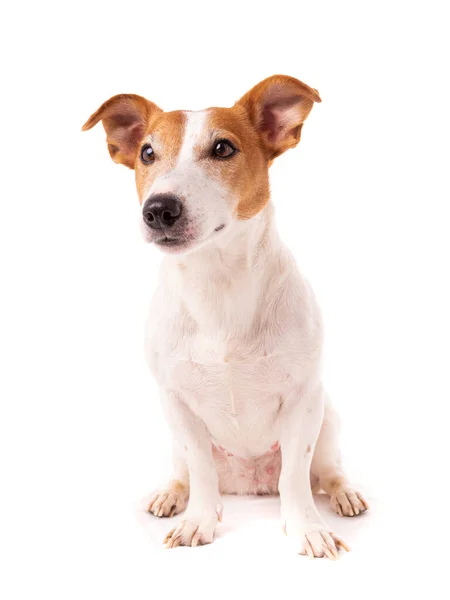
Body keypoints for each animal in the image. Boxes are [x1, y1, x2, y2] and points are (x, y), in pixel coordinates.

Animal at [83, 74, 370, 556]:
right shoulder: (177, 402)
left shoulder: (303, 400)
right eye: (147, 153)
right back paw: (171, 493)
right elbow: (200, 470)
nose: (158, 209)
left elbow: (296, 476)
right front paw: (198, 520)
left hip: (327, 418)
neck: (217, 284)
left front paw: (307, 527)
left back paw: (344, 492)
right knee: (185, 472)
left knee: (326, 470)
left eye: (222, 148)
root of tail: (250, 483)